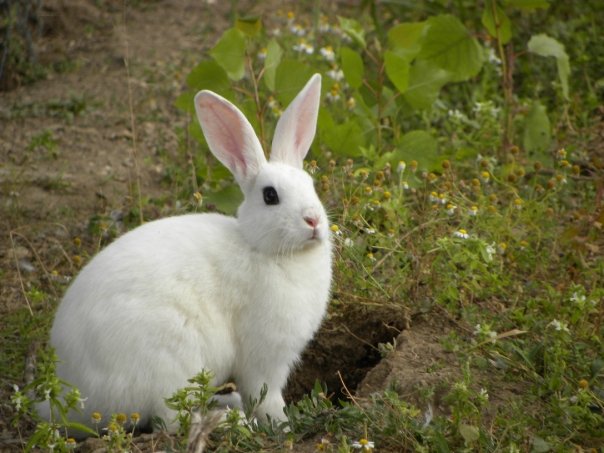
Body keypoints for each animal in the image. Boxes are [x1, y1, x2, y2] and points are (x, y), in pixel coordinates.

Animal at [39, 73, 330, 434]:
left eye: (311, 186)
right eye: (270, 196)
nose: (313, 220)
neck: (261, 247)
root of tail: (72, 396)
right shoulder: (264, 356)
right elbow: (266, 396)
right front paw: (282, 425)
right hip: (171, 359)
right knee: (172, 420)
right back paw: (230, 420)